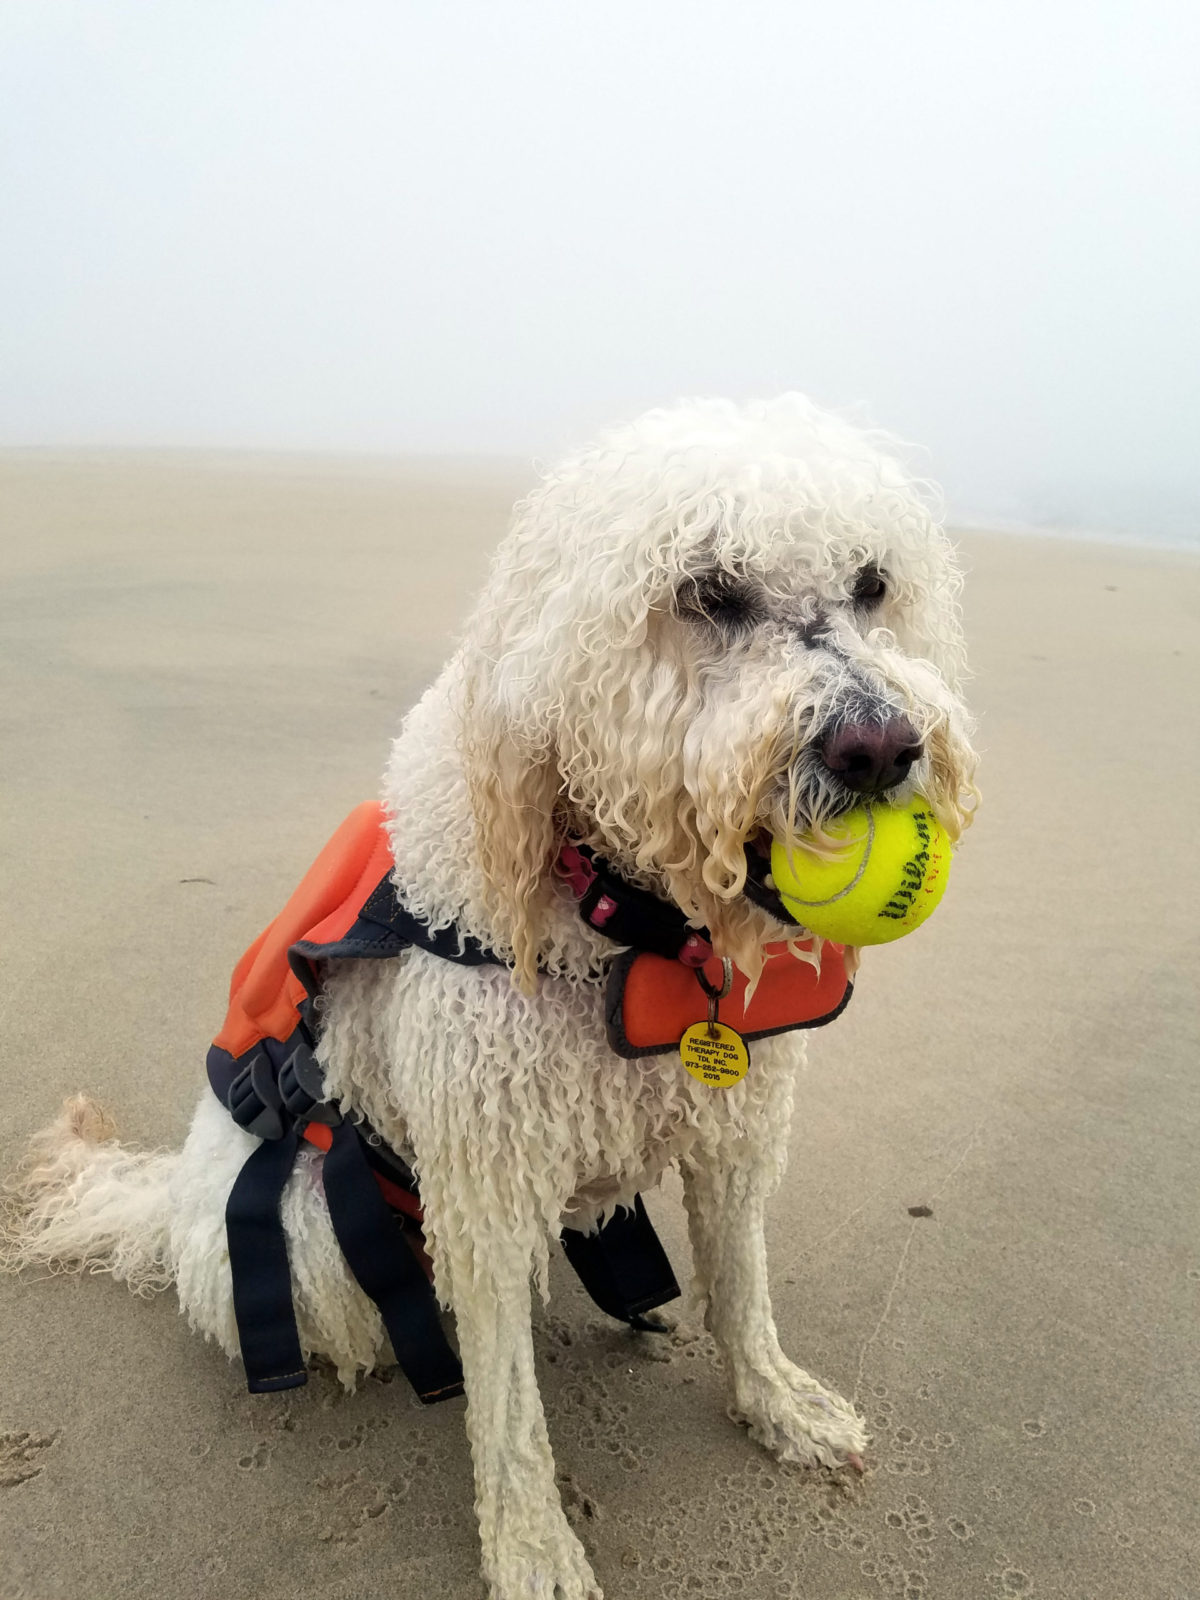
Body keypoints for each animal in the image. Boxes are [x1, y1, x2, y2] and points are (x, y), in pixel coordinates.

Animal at [4, 396, 979, 1600]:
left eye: (874, 582)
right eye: (707, 588)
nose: (881, 747)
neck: (622, 922)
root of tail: (170, 1195)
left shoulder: (733, 1134)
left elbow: (743, 1289)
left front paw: (776, 1404)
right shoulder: (485, 1189)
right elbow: (509, 1406)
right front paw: (532, 1545)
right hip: (307, 1225)